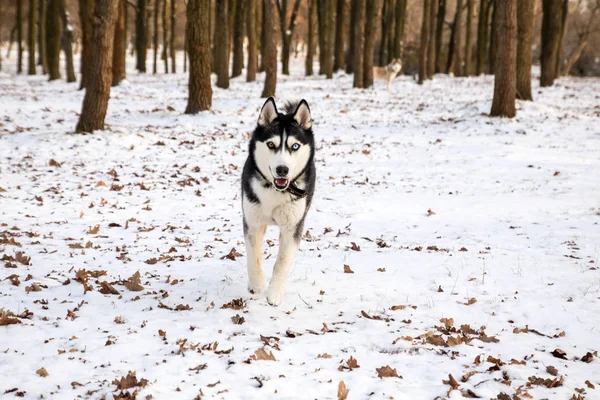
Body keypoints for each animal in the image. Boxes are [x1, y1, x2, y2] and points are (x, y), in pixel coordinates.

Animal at [241, 97, 316, 306]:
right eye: (271, 145)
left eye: (295, 146)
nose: (282, 170)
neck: (275, 190)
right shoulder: (252, 222)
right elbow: (253, 256)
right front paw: (257, 284)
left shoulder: (293, 226)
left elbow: (282, 262)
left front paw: (274, 293)